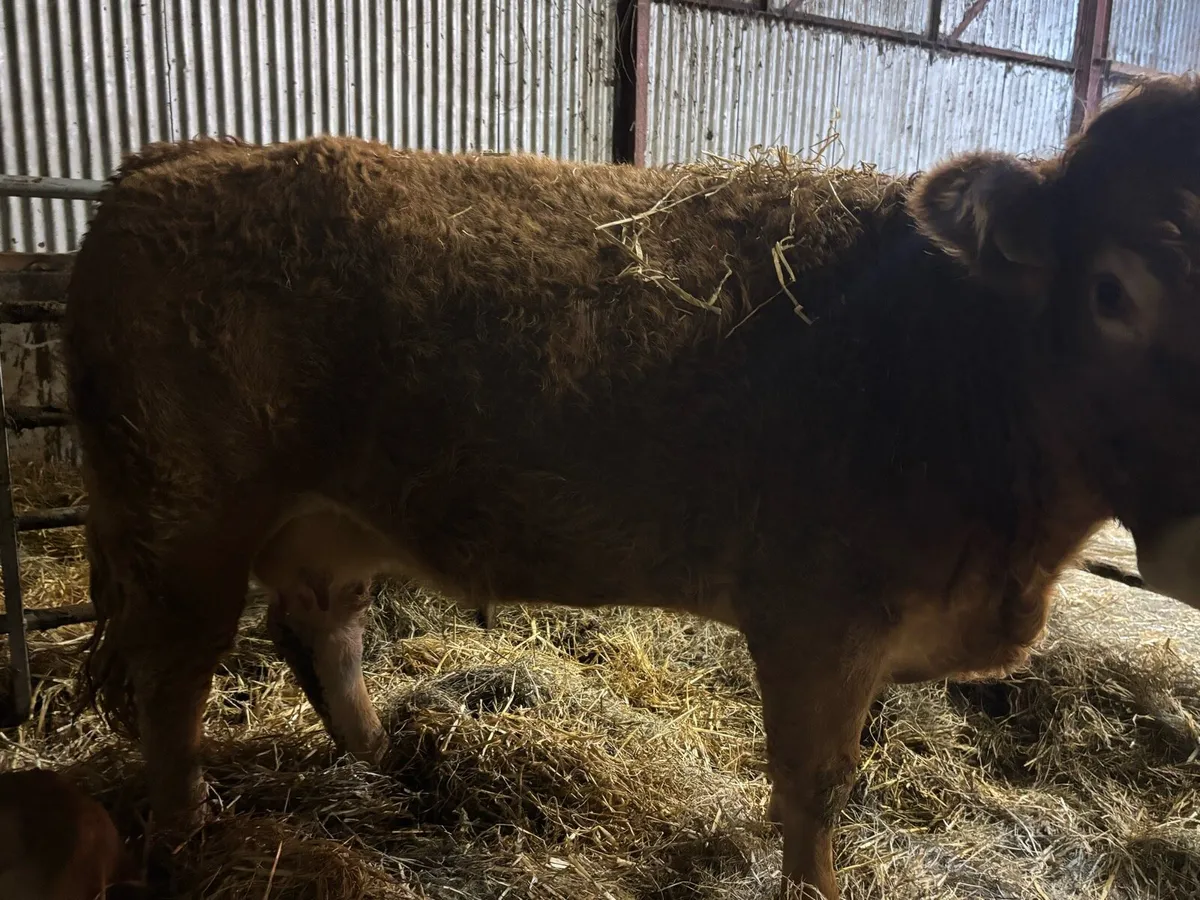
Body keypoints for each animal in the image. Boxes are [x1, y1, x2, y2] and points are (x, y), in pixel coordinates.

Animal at [62, 75, 1200, 900]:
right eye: (1111, 291)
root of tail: (178, 157)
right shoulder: (816, 620)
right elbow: (815, 790)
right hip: (182, 522)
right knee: (172, 681)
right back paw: (187, 837)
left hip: (325, 517)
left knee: (318, 627)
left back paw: (386, 762)